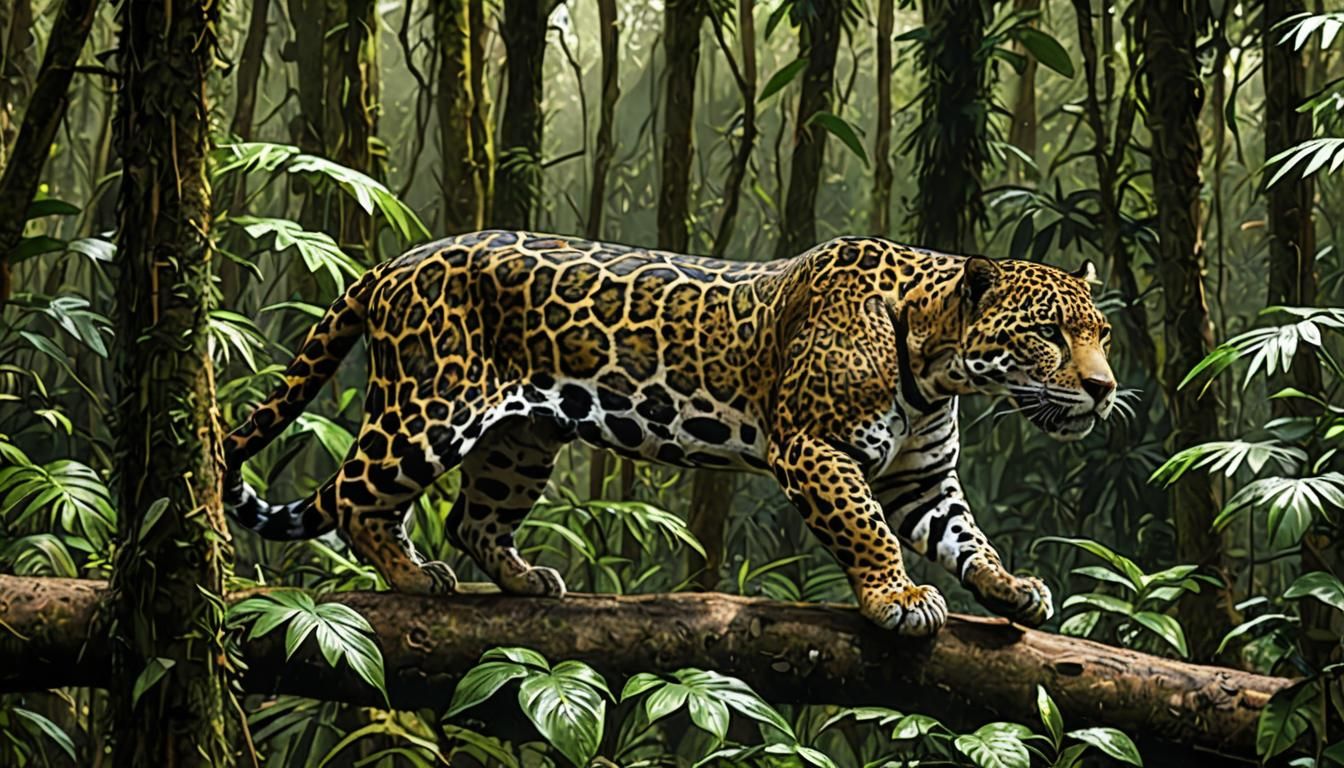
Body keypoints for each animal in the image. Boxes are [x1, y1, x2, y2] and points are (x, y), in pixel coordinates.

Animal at [223, 230, 1117, 637]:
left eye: (1100, 333)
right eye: (1046, 334)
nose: (1105, 389)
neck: (939, 366)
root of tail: (396, 260)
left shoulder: (921, 478)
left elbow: (967, 537)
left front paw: (1012, 589)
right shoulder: (813, 449)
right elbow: (867, 529)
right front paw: (896, 598)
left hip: (520, 441)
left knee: (474, 518)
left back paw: (522, 579)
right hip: (428, 407)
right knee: (352, 495)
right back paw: (413, 576)